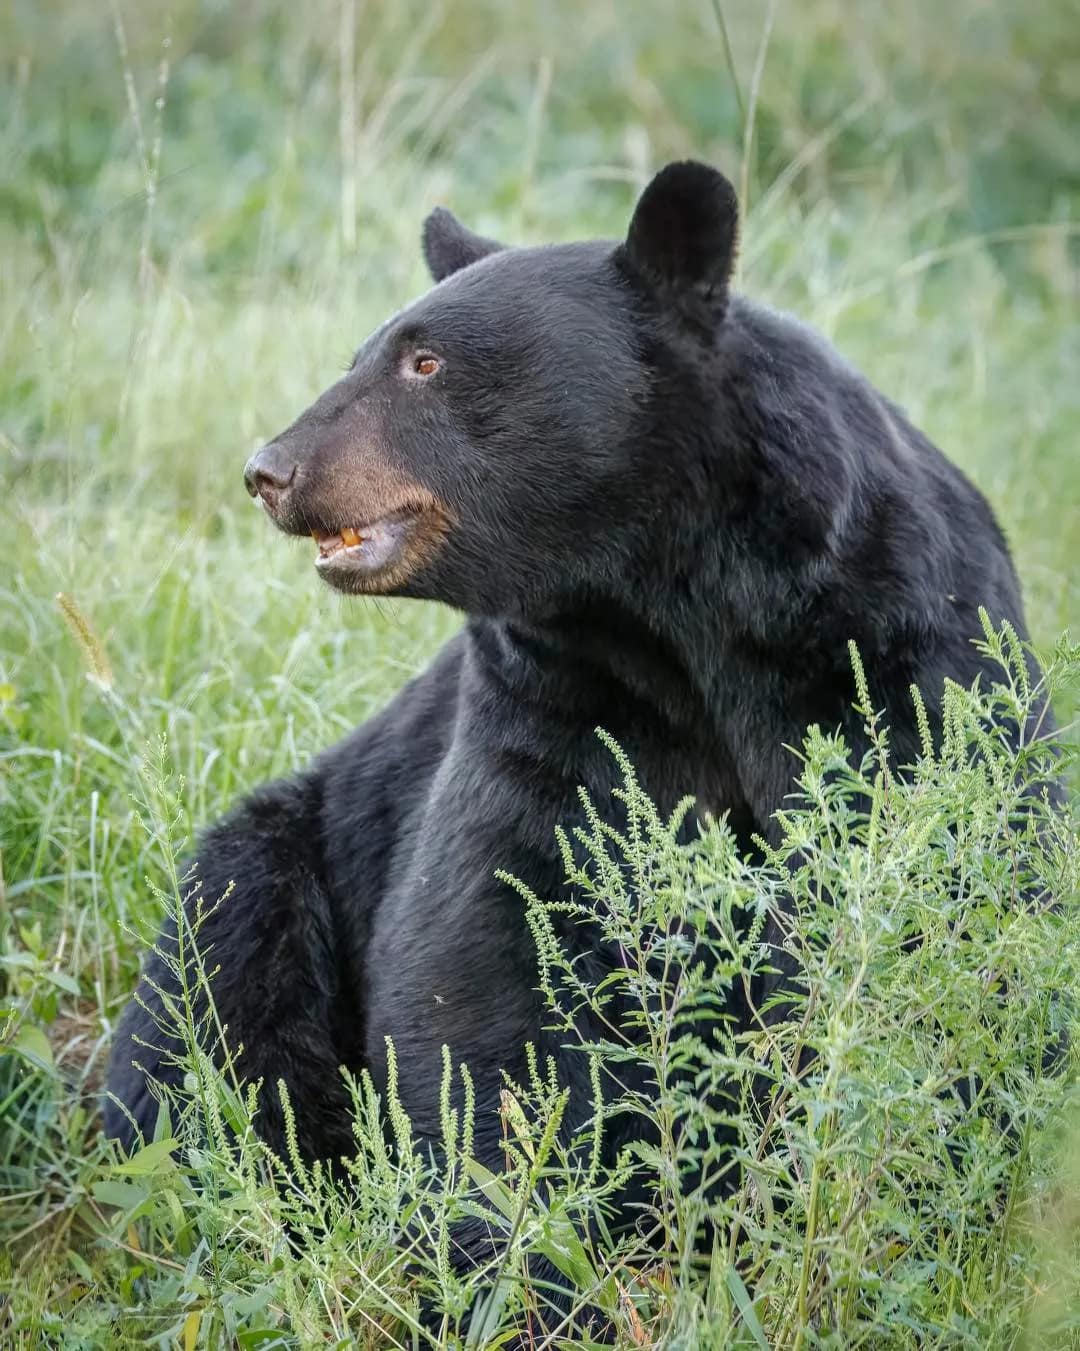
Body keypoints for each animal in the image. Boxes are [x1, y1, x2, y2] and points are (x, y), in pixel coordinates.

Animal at [105, 161, 1050, 1270]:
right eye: (363, 356)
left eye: (424, 360)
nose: (271, 469)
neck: (669, 604)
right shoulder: (558, 706)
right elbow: (484, 961)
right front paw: (521, 1244)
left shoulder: (906, 656)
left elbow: (956, 904)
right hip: (286, 854)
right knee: (209, 1000)